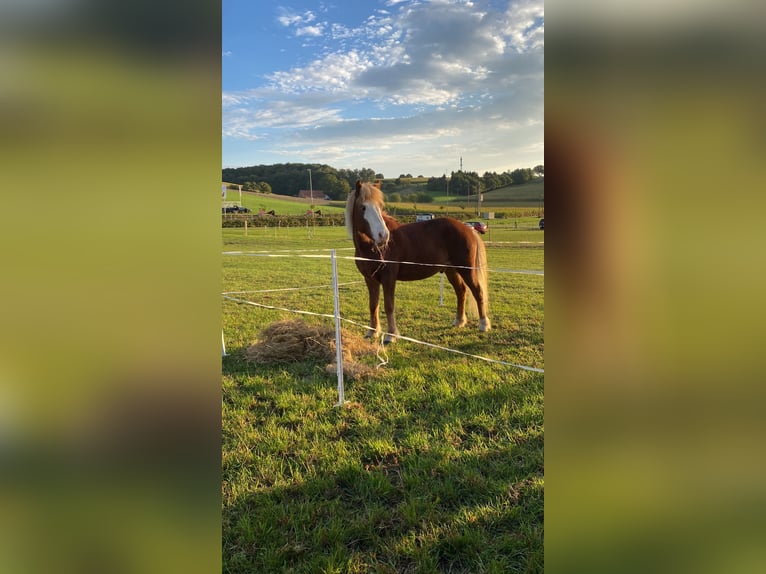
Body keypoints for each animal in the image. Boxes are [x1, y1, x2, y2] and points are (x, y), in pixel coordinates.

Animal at [346, 180, 490, 344]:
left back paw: (483, 325)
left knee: (478, 291)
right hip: (451, 270)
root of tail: (467, 228)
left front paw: (391, 335)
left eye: (380, 206)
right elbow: (373, 305)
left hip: (467, 270)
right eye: (363, 207)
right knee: (461, 291)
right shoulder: (370, 279)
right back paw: (459, 321)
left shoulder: (388, 278)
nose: (383, 235)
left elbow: (389, 306)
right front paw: (372, 332)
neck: (371, 247)